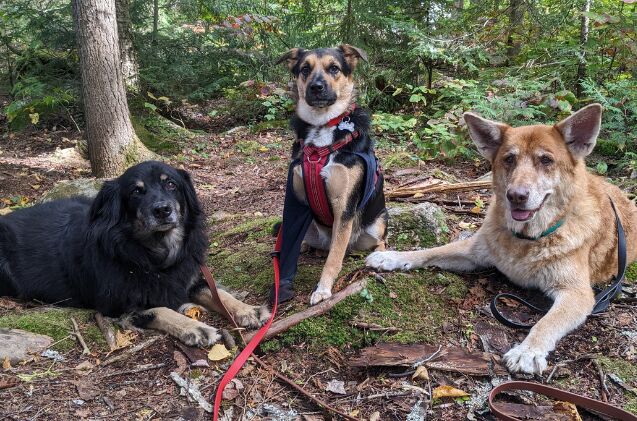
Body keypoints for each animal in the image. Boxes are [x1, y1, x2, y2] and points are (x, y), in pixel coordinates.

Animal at [0, 161, 268, 344]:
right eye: (136, 191)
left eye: (171, 184)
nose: (162, 210)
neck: (153, 255)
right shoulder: (118, 304)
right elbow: (160, 310)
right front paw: (194, 327)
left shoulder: (188, 277)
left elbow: (219, 293)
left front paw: (247, 309)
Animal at [274, 44, 388, 304]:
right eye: (305, 69)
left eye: (334, 68)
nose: (316, 87)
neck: (322, 129)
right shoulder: (294, 202)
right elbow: (288, 246)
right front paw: (281, 286)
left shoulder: (344, 207)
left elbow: (334, 258)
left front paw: (323, 289)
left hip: (377, 223)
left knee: (378, 241)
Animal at [366, 105, 636, 374]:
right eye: (509, 159)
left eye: (546, 160)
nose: (516, 196)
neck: (527, 238)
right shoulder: (474, 251)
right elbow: (432, 251)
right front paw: (392, 257)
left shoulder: (577, 293)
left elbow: (546, 322)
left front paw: (528, 351)